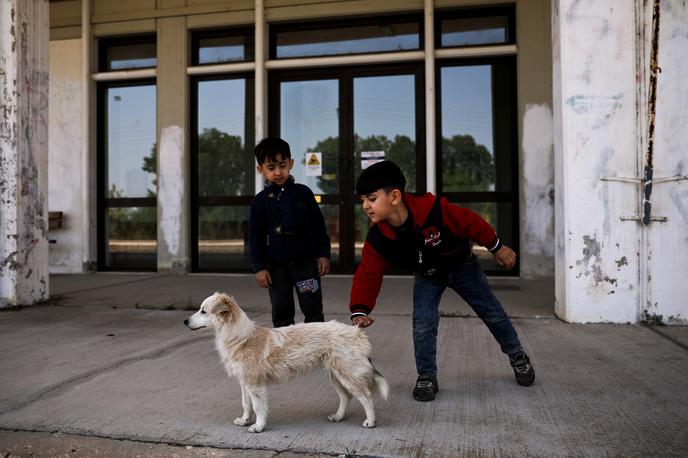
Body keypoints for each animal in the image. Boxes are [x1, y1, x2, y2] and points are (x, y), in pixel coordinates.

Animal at [184, 294, 388, 432]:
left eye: (203, 311)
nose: (185, 321)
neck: (241, 337)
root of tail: (356, 331)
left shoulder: (255, 385)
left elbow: (258, 407)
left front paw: (258, 426)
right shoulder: (244, 383)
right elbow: (246, 404)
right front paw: (244, 420)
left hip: (348, 375)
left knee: (366, 396)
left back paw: (370, 421)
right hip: (336, 376)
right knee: (346, 397)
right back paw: (338, 417)